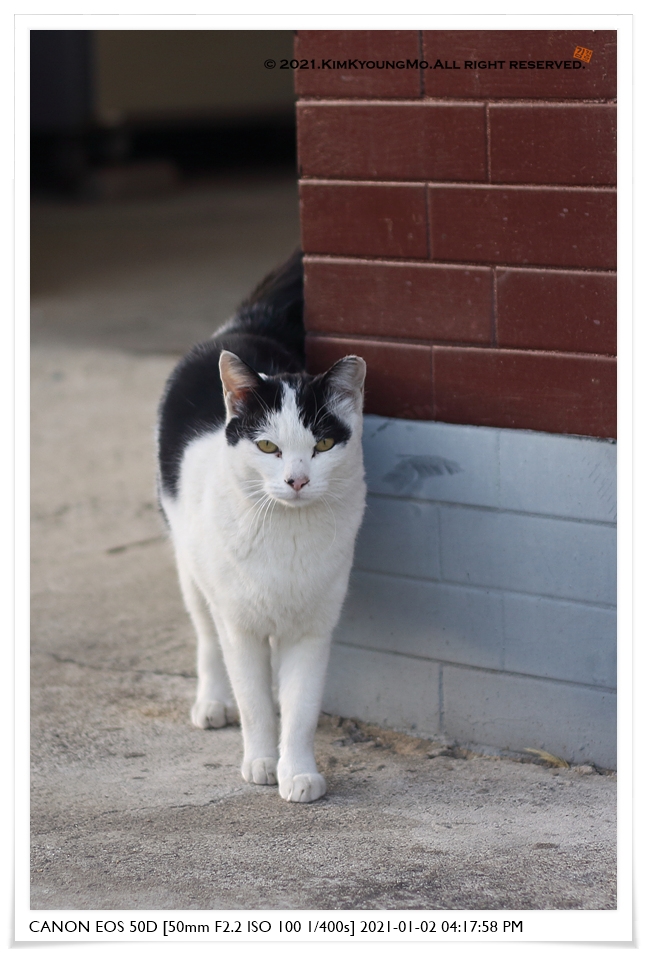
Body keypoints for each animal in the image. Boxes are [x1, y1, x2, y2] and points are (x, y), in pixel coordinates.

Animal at [157, 251, 366, 802]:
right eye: (268, 447)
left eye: (322, 444)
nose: (297, 480)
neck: (286, 536)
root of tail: (243, 327)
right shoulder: (240, 625)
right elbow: (253, 700)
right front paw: (260, 763)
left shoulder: (313, 628)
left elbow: (300, 707)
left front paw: (297, 773)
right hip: (190, 566)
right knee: (207, 637)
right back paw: (212, 703)